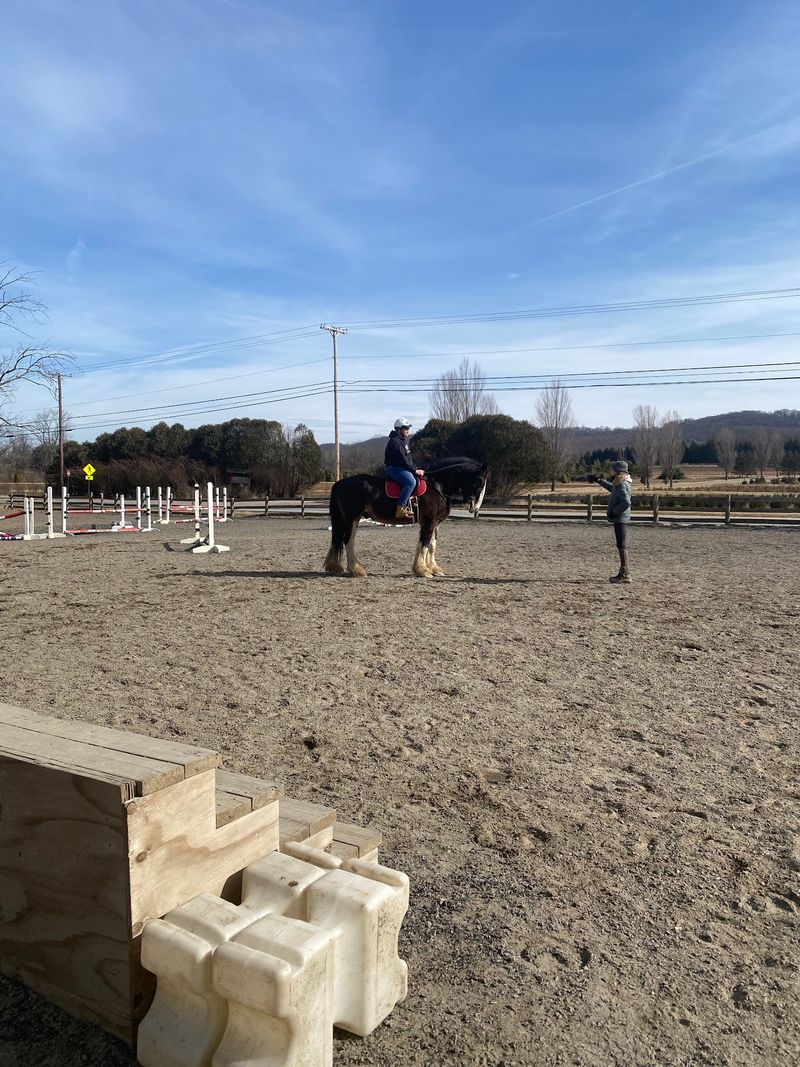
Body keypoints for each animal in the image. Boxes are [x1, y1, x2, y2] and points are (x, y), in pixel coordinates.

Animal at [323, 456, 488, 578]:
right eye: (479, 481)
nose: (474, 507)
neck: (437, 486)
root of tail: (339, 483)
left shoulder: (434, 523)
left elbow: (431, 545)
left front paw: (433, 568)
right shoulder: (429, 522)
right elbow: (425, 544)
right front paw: (423, 570)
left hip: (349, 520)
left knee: (339, 540)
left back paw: (335, 567)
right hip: (352, 519)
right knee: (348, 541)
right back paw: (356, 570)